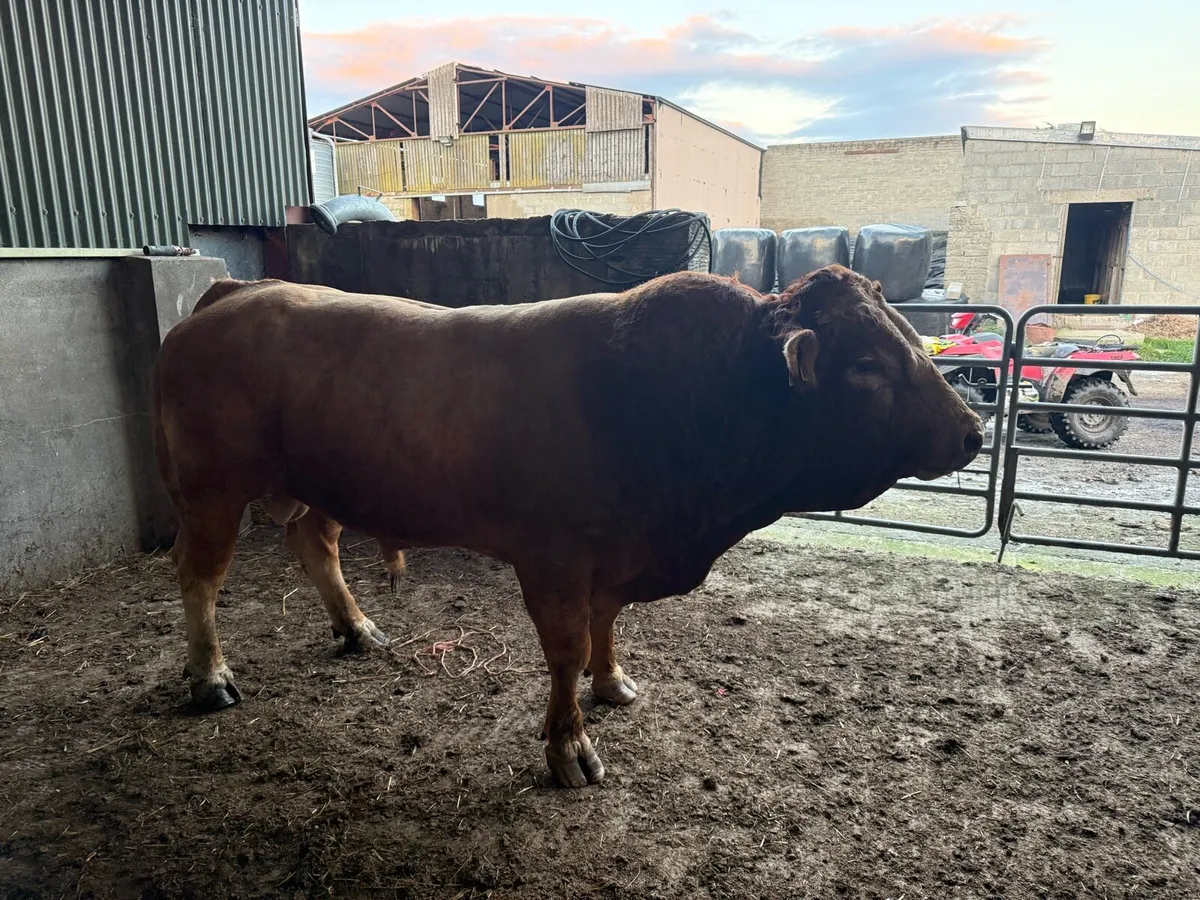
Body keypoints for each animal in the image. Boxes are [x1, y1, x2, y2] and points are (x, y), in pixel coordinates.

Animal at [152, 265, 983, 788]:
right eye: (869, 365)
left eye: (910, 339)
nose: (973, 432)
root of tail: (236, 290)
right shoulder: (552, 556)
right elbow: (566, 646)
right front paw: (569, 748)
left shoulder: (616, 552)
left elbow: (606, 623)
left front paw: (611, 682)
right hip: (210, 488)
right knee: (199, 575)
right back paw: (209, 676)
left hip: (316, 485)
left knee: (315, 546)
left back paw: (357, 629)